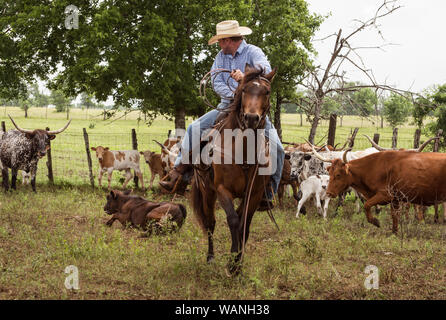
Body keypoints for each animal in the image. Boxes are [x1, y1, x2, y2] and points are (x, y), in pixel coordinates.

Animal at [191, 65, 276, 276]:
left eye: (267, 92)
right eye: (244, 89)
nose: (251, 118)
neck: (243, 151)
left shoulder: (255, 193)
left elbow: (244, 223)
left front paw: (238, 263)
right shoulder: (223, 190)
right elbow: (233, 221)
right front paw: (232, 264)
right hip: (207, 192)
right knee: (210, 222)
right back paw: (210, 257)